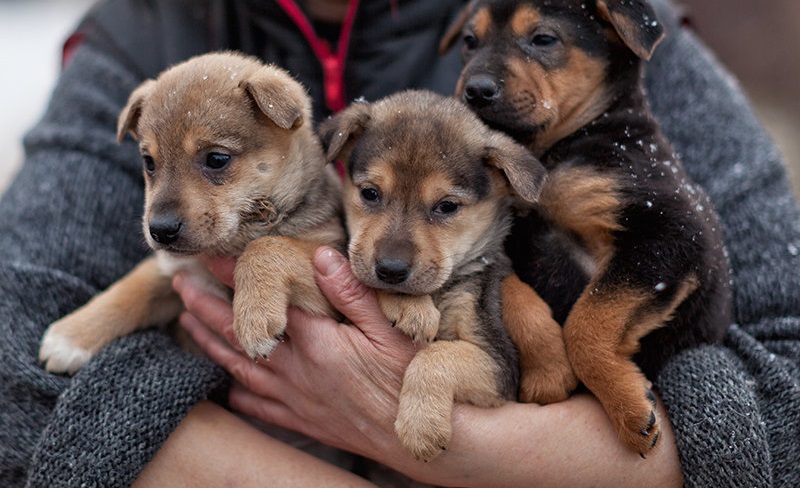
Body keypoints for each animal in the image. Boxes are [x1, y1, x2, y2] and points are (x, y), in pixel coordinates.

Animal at [39, 52, 344, 374]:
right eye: (149, 162)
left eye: (217, 159)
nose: (160, 230)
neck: (233, 242)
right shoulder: (178, 270)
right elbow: (133, 287)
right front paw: (70, 335)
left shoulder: (327, 278)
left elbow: (268, 247)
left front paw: (254, 320)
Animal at [320, 90, 568, 462]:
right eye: (369, 193)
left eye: (447, 206)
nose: (391, 270)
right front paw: (412, 309)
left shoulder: (498, 364)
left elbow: (436, 355)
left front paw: (421, 428)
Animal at [440, 0, 736, 458]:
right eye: (470, 41)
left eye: (544, 38)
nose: (475, 90)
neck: (545, 158)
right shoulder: (500, 244)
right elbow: (515, 295)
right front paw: (549, 371)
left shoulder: (669, 235)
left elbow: (589, 318)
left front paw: (630, 409)